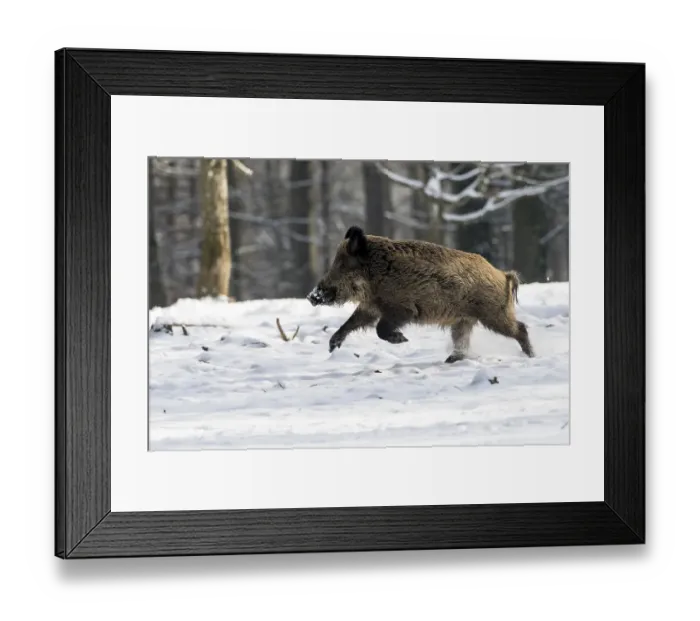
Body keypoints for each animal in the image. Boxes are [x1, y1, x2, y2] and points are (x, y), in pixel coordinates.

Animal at [306, 226, 534, 363]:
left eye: (342, 265)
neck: (375, 274)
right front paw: (332, 347)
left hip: (493, 313)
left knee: (520, 328)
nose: (312, 296)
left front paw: (402, 340)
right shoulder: (370, 307)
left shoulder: (402, 308)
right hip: (464, 320)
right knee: (461, 342)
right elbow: (352, 322)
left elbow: (381, 329)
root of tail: (503, 274)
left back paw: (531, 355)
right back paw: (449, 360)